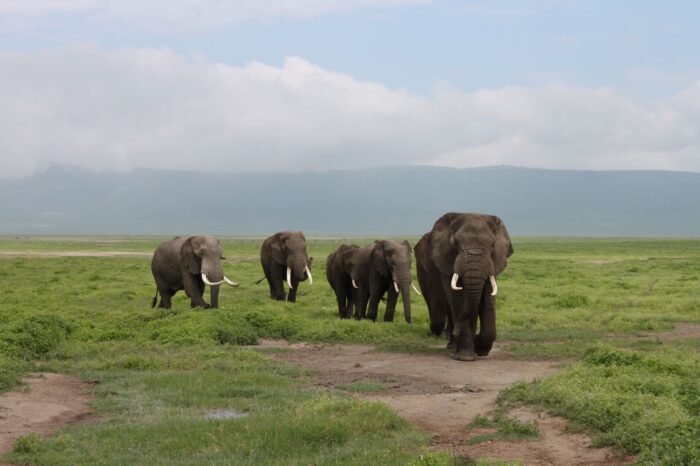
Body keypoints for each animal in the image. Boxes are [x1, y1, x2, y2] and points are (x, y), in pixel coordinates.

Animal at [412, 213, 512, 362]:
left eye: (493, 245)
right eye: (455, 243)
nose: (455, 332)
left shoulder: (493, 262)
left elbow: (488, 298)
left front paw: (480, 349)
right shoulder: (446, 261)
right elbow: (457, 300)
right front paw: (465, 357)